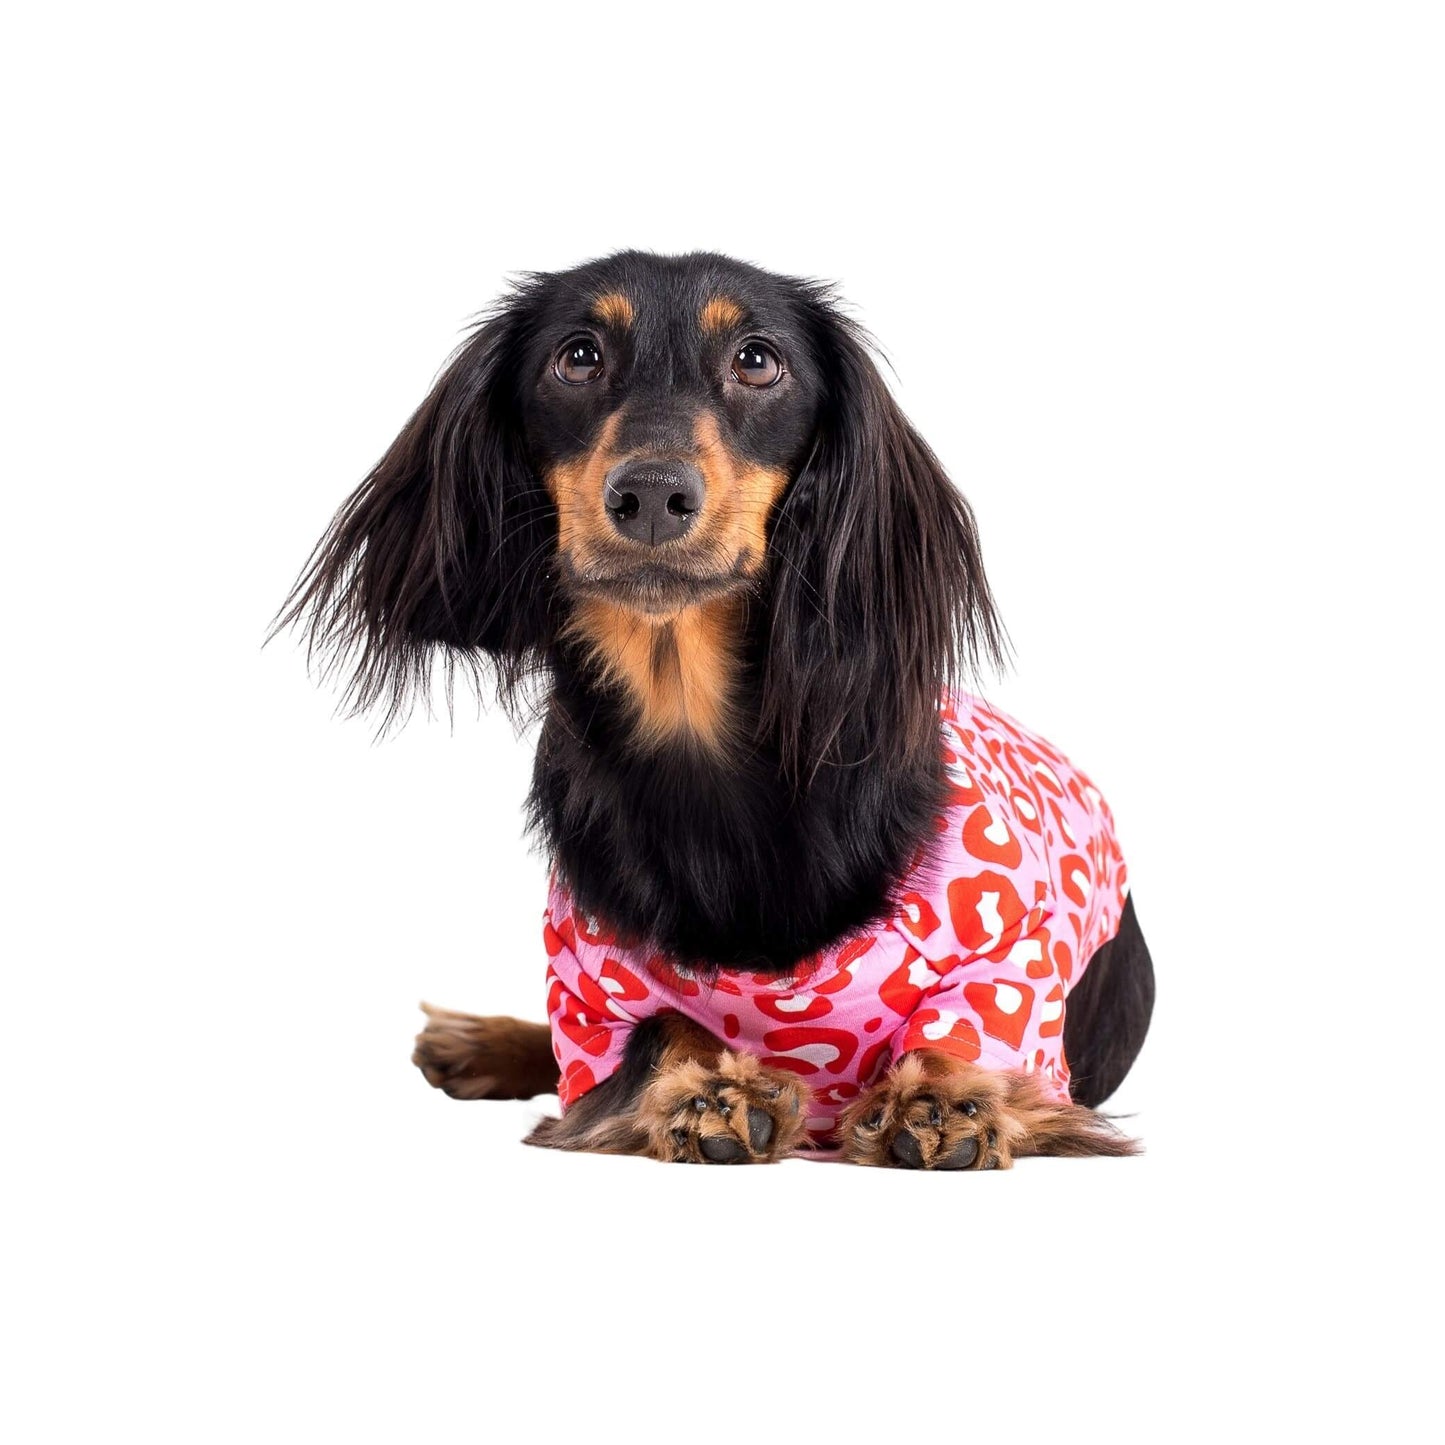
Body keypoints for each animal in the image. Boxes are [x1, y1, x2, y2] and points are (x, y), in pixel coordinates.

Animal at [275, 254, 1156, 1167]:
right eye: (577, 356)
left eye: (757, 360)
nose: (651, 493)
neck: (697, 735)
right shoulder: (591, 983)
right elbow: (656, 1030)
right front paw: (712, 1091)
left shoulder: (1007, 955)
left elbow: (963, 1034)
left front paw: (942, 1100)